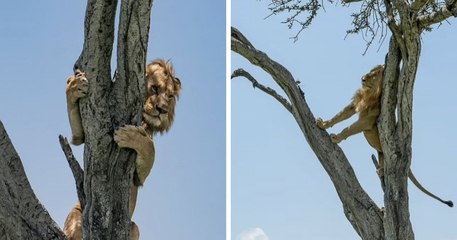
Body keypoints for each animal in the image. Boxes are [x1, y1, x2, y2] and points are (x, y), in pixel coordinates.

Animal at [64, 58, 182, 238]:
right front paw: (74, 85)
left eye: (169, 96)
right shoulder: (82, 135)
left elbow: (151, 147)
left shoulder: (139, 176)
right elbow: (77, 130)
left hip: (134, 226)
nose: (162, 110)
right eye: (155, 88)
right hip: (76, 214)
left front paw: (126, 135)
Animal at [318, 64, 452, 207]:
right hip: (381, 152)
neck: (370, 93)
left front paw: (336, 138)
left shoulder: (366, 121)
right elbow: (339, 116)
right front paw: (323, 124)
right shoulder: (354, 105)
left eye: (375, 74)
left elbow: (348, 129)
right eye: (371, 71)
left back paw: (381, 170)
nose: (363, 78)